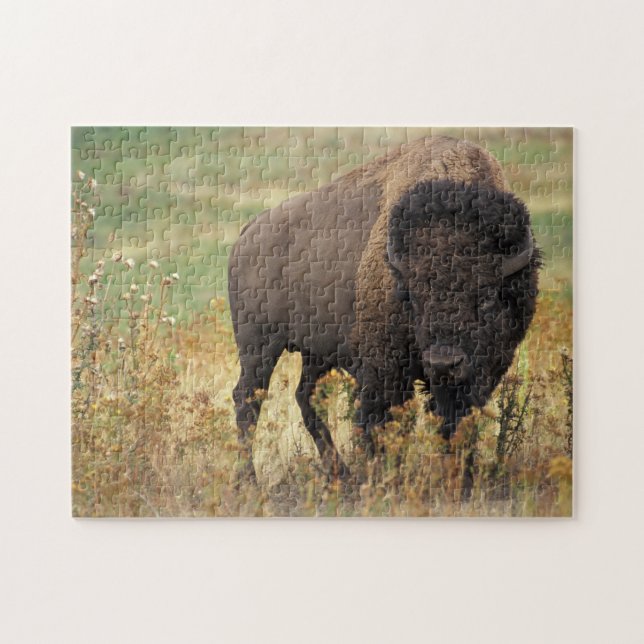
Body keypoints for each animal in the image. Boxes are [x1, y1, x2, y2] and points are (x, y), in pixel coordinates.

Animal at [228, 135, 539, 477]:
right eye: (414, 297)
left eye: (485, 297)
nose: (444, 363)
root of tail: (248, 232)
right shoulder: (385, 370)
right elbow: (382, 423)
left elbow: (455, 424)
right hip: (258, 346)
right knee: (247, 399)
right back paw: (249, 479)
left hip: (316, 352)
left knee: (304, 396)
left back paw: (340, 473)